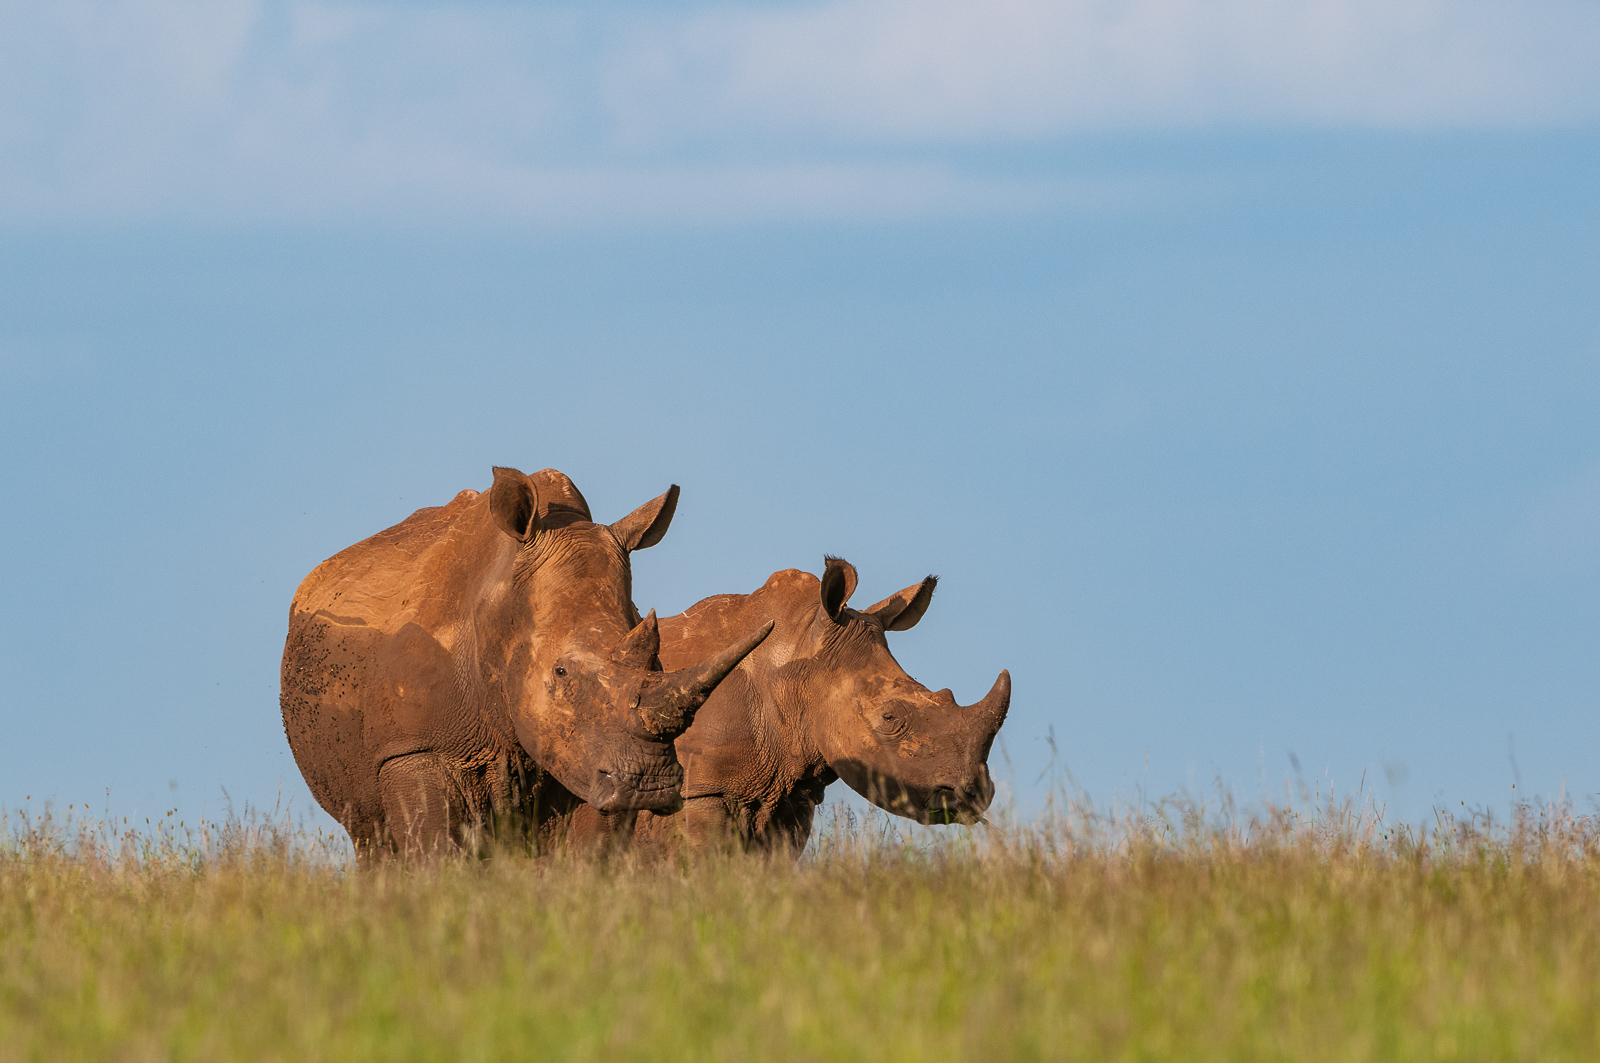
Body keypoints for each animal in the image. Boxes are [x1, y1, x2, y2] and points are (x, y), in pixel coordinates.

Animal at [279, 466, 772, 855]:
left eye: (659, 663)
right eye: (561, 671)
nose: (651, 784)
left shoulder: (589, 757)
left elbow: (591, 854)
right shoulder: (411, 747)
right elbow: (431, 849)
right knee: (369, 836)